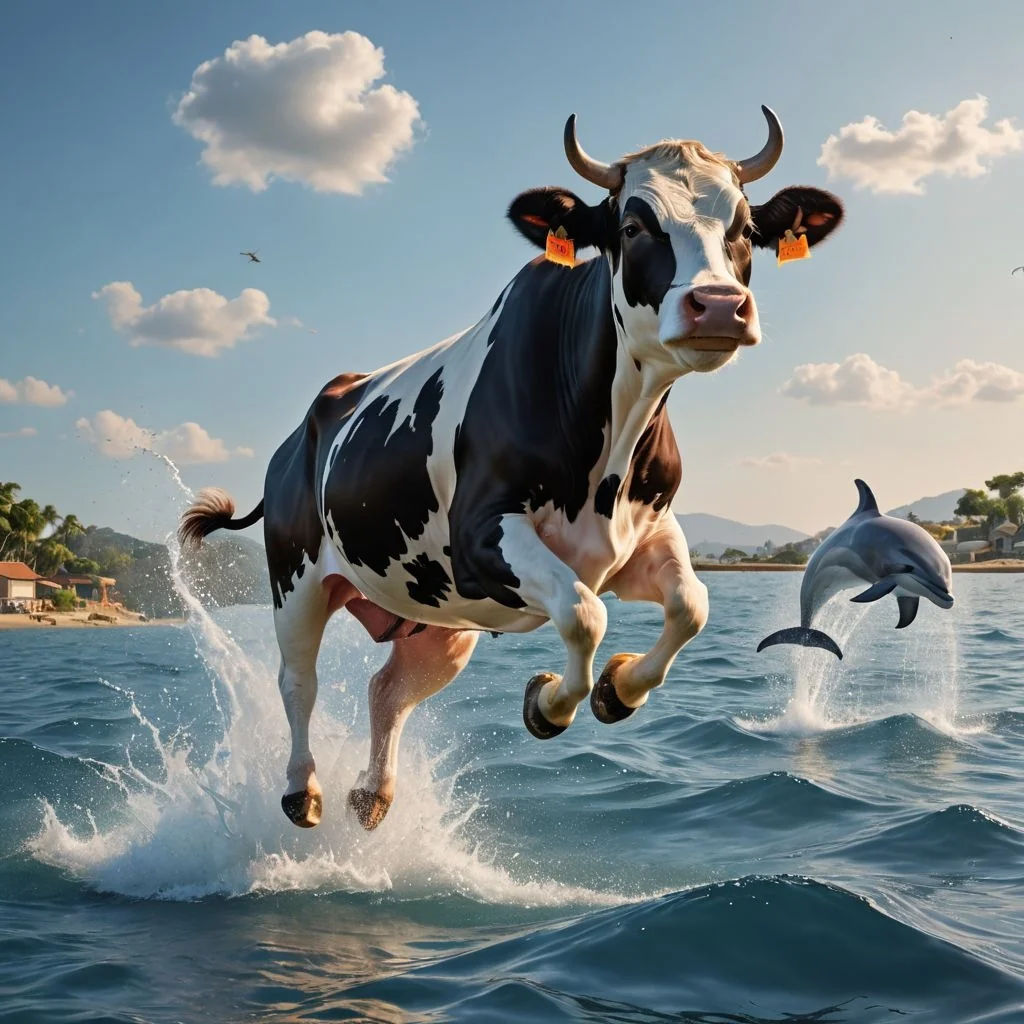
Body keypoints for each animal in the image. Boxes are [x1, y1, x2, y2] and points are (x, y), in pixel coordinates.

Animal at [180, 108, 843, 832]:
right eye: (633, 226)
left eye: (745, 230)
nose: (719, 305)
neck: (609, 445)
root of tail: (308, 422)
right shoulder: (481, 537)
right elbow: (584, 613)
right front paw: (551, 703)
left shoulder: (640, 534)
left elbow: (691, 606)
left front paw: (617, 690)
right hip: (295, 575)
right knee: (298, 681)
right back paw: (303, 791)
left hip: (435, 618)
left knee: (390, 688)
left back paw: (372, 795)